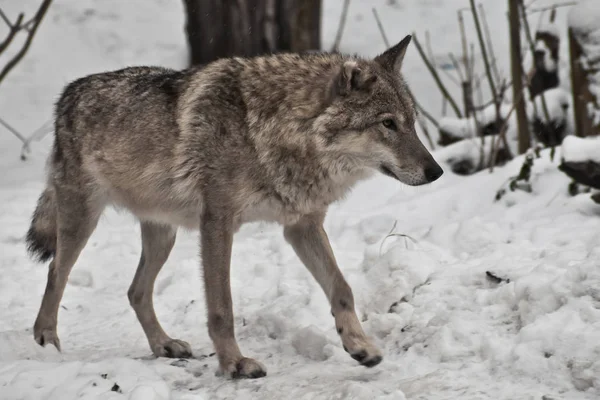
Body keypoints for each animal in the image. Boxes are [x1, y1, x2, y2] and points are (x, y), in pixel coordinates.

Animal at [25, 34, 442, 378]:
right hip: (82, 222)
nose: (437, 171)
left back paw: (164, 344)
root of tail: (68, 93)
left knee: (135, 291)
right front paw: (235, 364)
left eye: (412, 122)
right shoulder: (217, 223)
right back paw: (47, 342)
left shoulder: (302, 225)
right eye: (387, 124)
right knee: (55, 275)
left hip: (163, 234)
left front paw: (360, 347)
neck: (276, 130)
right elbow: (221, 307)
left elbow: (342, 287)